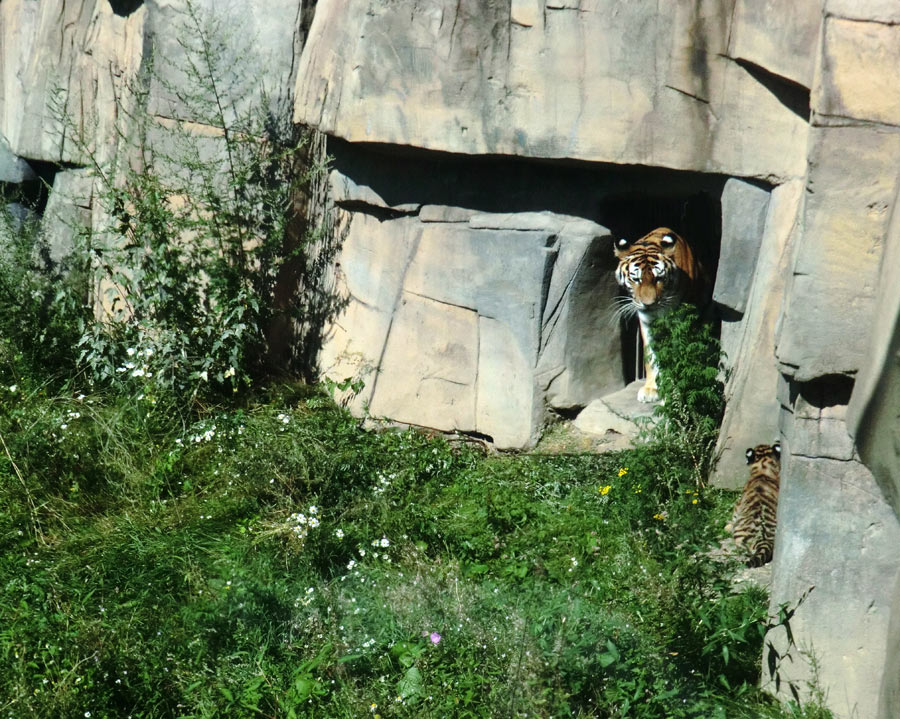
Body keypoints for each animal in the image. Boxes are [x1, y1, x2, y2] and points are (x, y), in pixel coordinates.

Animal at [612, 228, 704, 402]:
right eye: (636, 279)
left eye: (658, 278)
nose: (648, 304)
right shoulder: (647, 323)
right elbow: (651, 357)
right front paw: (651, 389)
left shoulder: (680, 323)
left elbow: (676, 357)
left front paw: (675, 391)